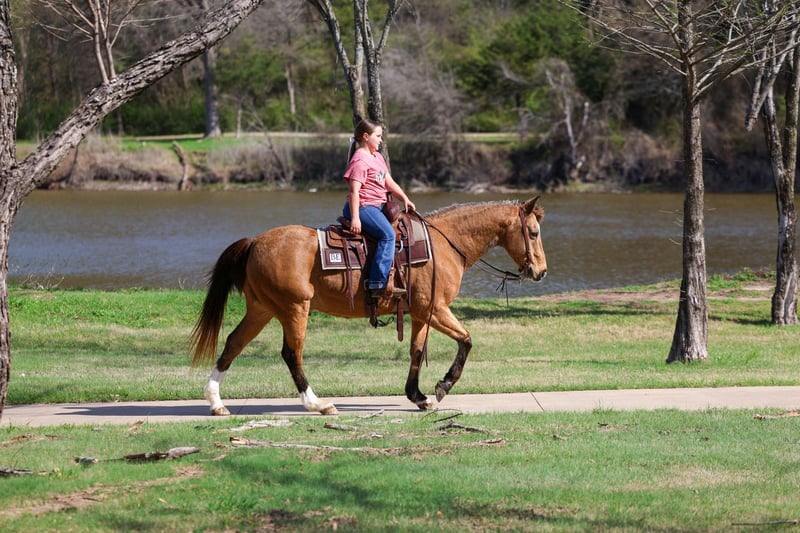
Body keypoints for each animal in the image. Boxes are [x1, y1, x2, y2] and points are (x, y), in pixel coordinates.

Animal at [190, 197, 547, 415]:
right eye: (533, 232)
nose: (541, 272)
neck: (443, 244)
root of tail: (255, 242)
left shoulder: (421, 314)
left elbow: (417, 351)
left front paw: (417, 396)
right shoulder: (436, 309)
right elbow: (467, 340)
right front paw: (443, 386)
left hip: (261, 309)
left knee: (233, 343)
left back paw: (216, 402)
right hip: (294, 309)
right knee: (291, 354)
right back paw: (316, 404)